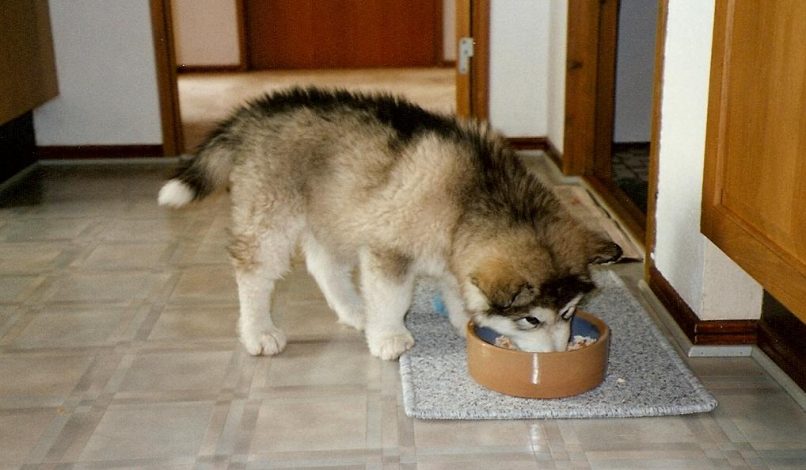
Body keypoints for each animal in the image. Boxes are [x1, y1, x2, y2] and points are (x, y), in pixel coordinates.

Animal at [158, 87, 624, 360]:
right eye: (531, 320)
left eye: (570, 312)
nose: (558, 355)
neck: (471, 196)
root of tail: (253, 113)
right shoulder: (389, 248)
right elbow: (394, 297)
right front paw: (389, 337)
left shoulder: (455, 252)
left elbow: (458, 292)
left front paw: (464, 323)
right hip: (273, 216)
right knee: (254, 272)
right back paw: (259, 330)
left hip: (337, 209)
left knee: (323, 264)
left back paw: (353, 309)